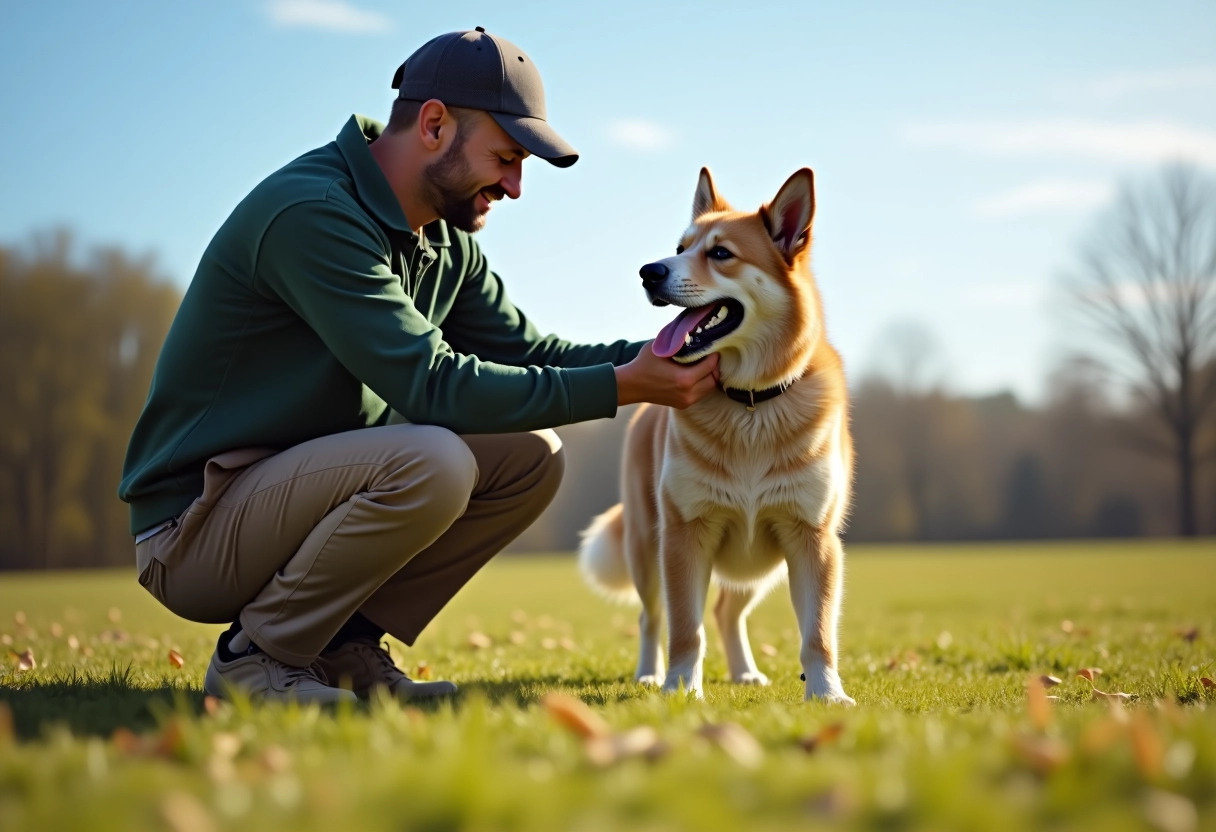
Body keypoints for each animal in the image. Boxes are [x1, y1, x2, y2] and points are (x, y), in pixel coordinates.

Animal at [578, 165, 856, 705]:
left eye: (721, 253)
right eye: (680, 246)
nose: (648, 271)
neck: (749, 404)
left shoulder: (812, 538)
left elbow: (818, 633)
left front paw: (827, 693)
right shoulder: (685, 535)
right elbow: (686, 628)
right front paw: (680, 688)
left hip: (760, 564)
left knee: (728, 612)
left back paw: (745, 672)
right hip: (647, 547)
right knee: (651, 617)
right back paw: (648, 674)